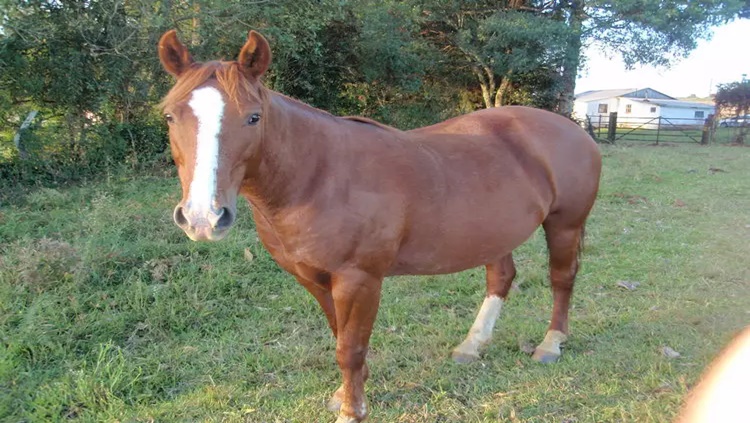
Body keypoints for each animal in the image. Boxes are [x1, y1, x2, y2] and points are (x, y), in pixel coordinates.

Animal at [159, 29, 604, 423]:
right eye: (169, 116)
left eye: (253, 117)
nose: (202, 217)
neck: (319, 174)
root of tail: (572, 127)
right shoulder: (313, 278)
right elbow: (340, 337)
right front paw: (345, 394)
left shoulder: (360, 280)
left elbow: (350, 348)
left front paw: (352, 411)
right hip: (494, 232)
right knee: (501, 277)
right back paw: (472, 346)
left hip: (564, 225)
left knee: (561, 279)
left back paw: (550, 344)